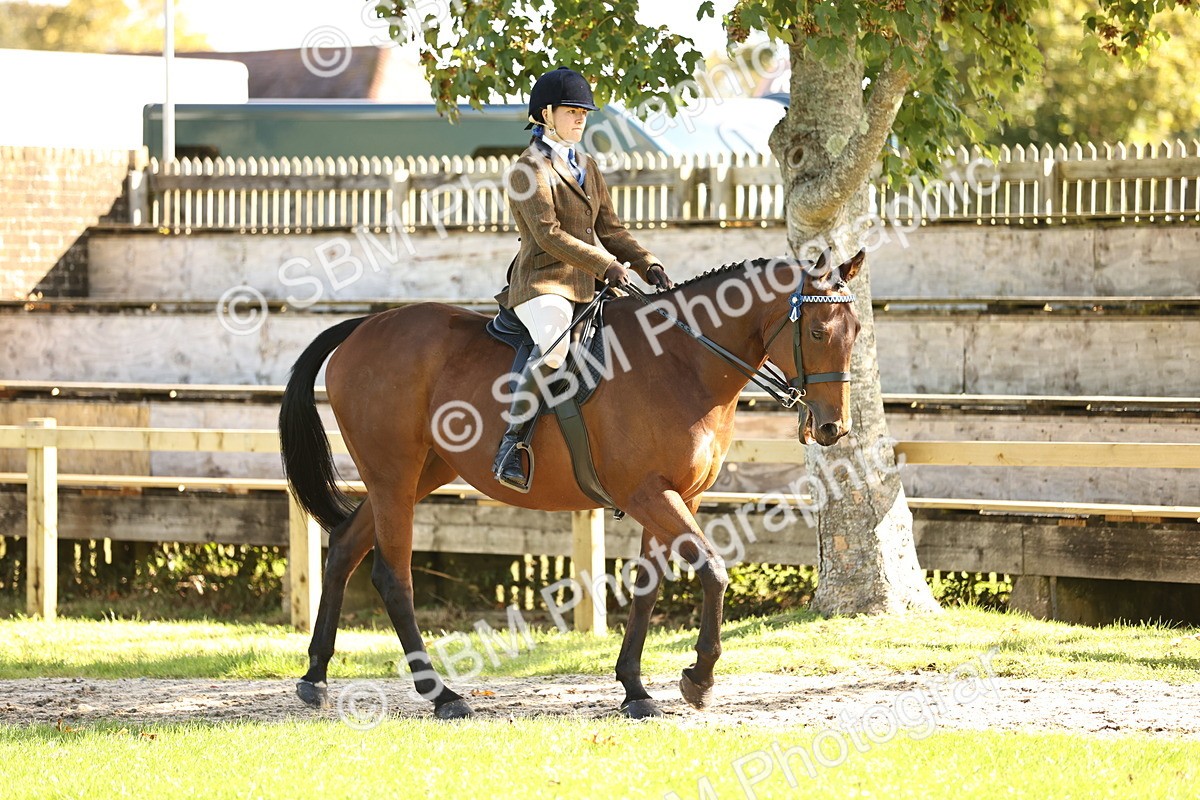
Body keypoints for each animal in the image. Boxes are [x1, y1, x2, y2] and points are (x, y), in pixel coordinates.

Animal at [279, 249, 864, 720]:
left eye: (855, 332)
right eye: (817, 332)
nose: (832, 428)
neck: (683, 361)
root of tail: (364, 326)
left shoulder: (677, 496)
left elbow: (647, 587)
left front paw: (635, 689)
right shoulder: (648, 494)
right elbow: (713, 571)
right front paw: (698, 680)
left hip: (418, 474)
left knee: (345, 546)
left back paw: (315, 678)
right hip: (394, 477)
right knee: (392, 575)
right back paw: (442, 695)